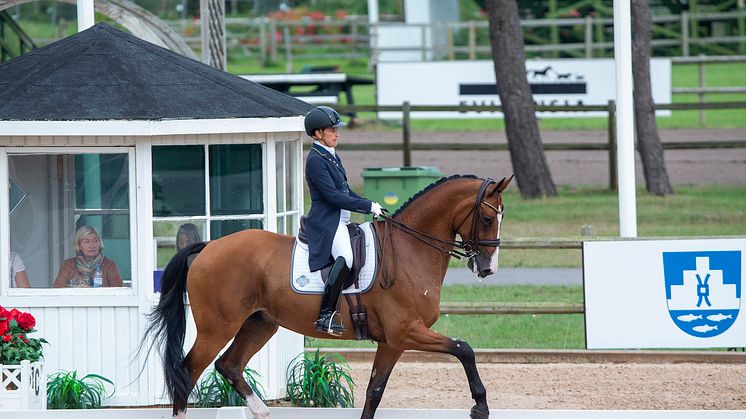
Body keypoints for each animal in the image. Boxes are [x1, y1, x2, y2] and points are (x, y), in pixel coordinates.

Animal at [145, 172, 512, 418]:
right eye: (487, 218)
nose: (488, 268)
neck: (410, 248)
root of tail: (208, 247)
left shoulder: (392, 342)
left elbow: (374, 392)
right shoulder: (406, 331)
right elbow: (464, 349)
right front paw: (480, 406)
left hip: (260, 323)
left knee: (229, 365)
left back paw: (260, 410)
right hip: (217, 328)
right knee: (187, 373)